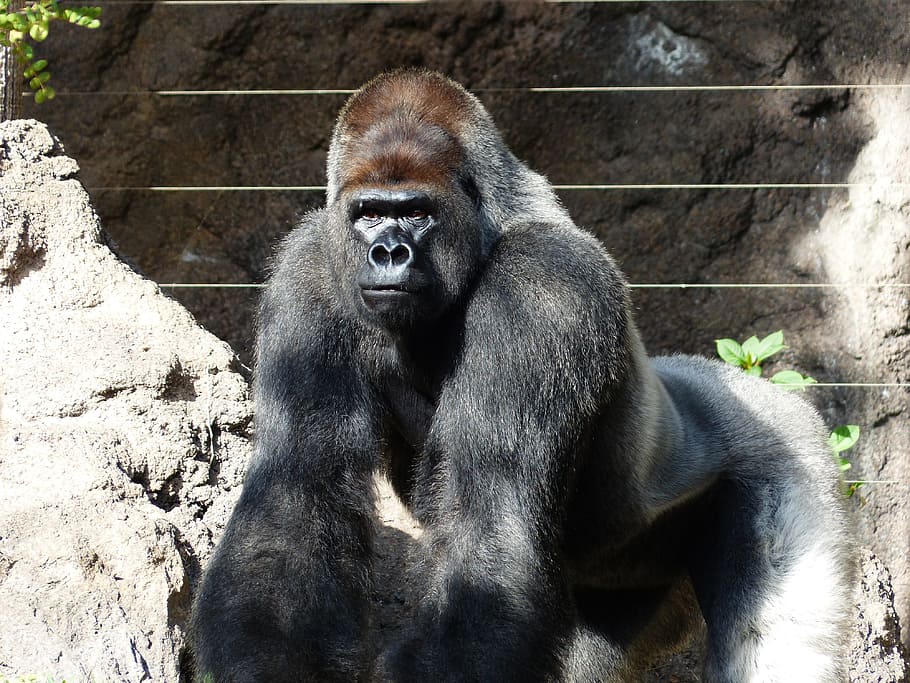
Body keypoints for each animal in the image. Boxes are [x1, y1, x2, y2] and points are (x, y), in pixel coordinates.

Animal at [190, 68, 856, 682]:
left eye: (417, 213)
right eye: (369, 215)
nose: (388, 253)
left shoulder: (545, 287)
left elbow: (490, 528)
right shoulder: (307, 273)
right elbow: (296, 498)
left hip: (789, 456)